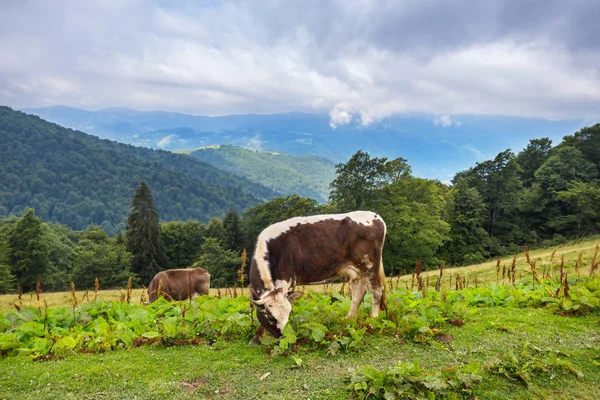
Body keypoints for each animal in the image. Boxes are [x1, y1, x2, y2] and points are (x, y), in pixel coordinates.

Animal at [250, 211, 386, 342]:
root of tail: (376, 216)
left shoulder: (286, 280)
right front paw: (257, 337)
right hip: (356, 271)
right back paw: (348, 320)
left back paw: (372, 322)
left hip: (370, 266)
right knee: (358, 294)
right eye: (271, 318)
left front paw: (256, 337)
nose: (283, 336)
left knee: (376, 291)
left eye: (288, 313)